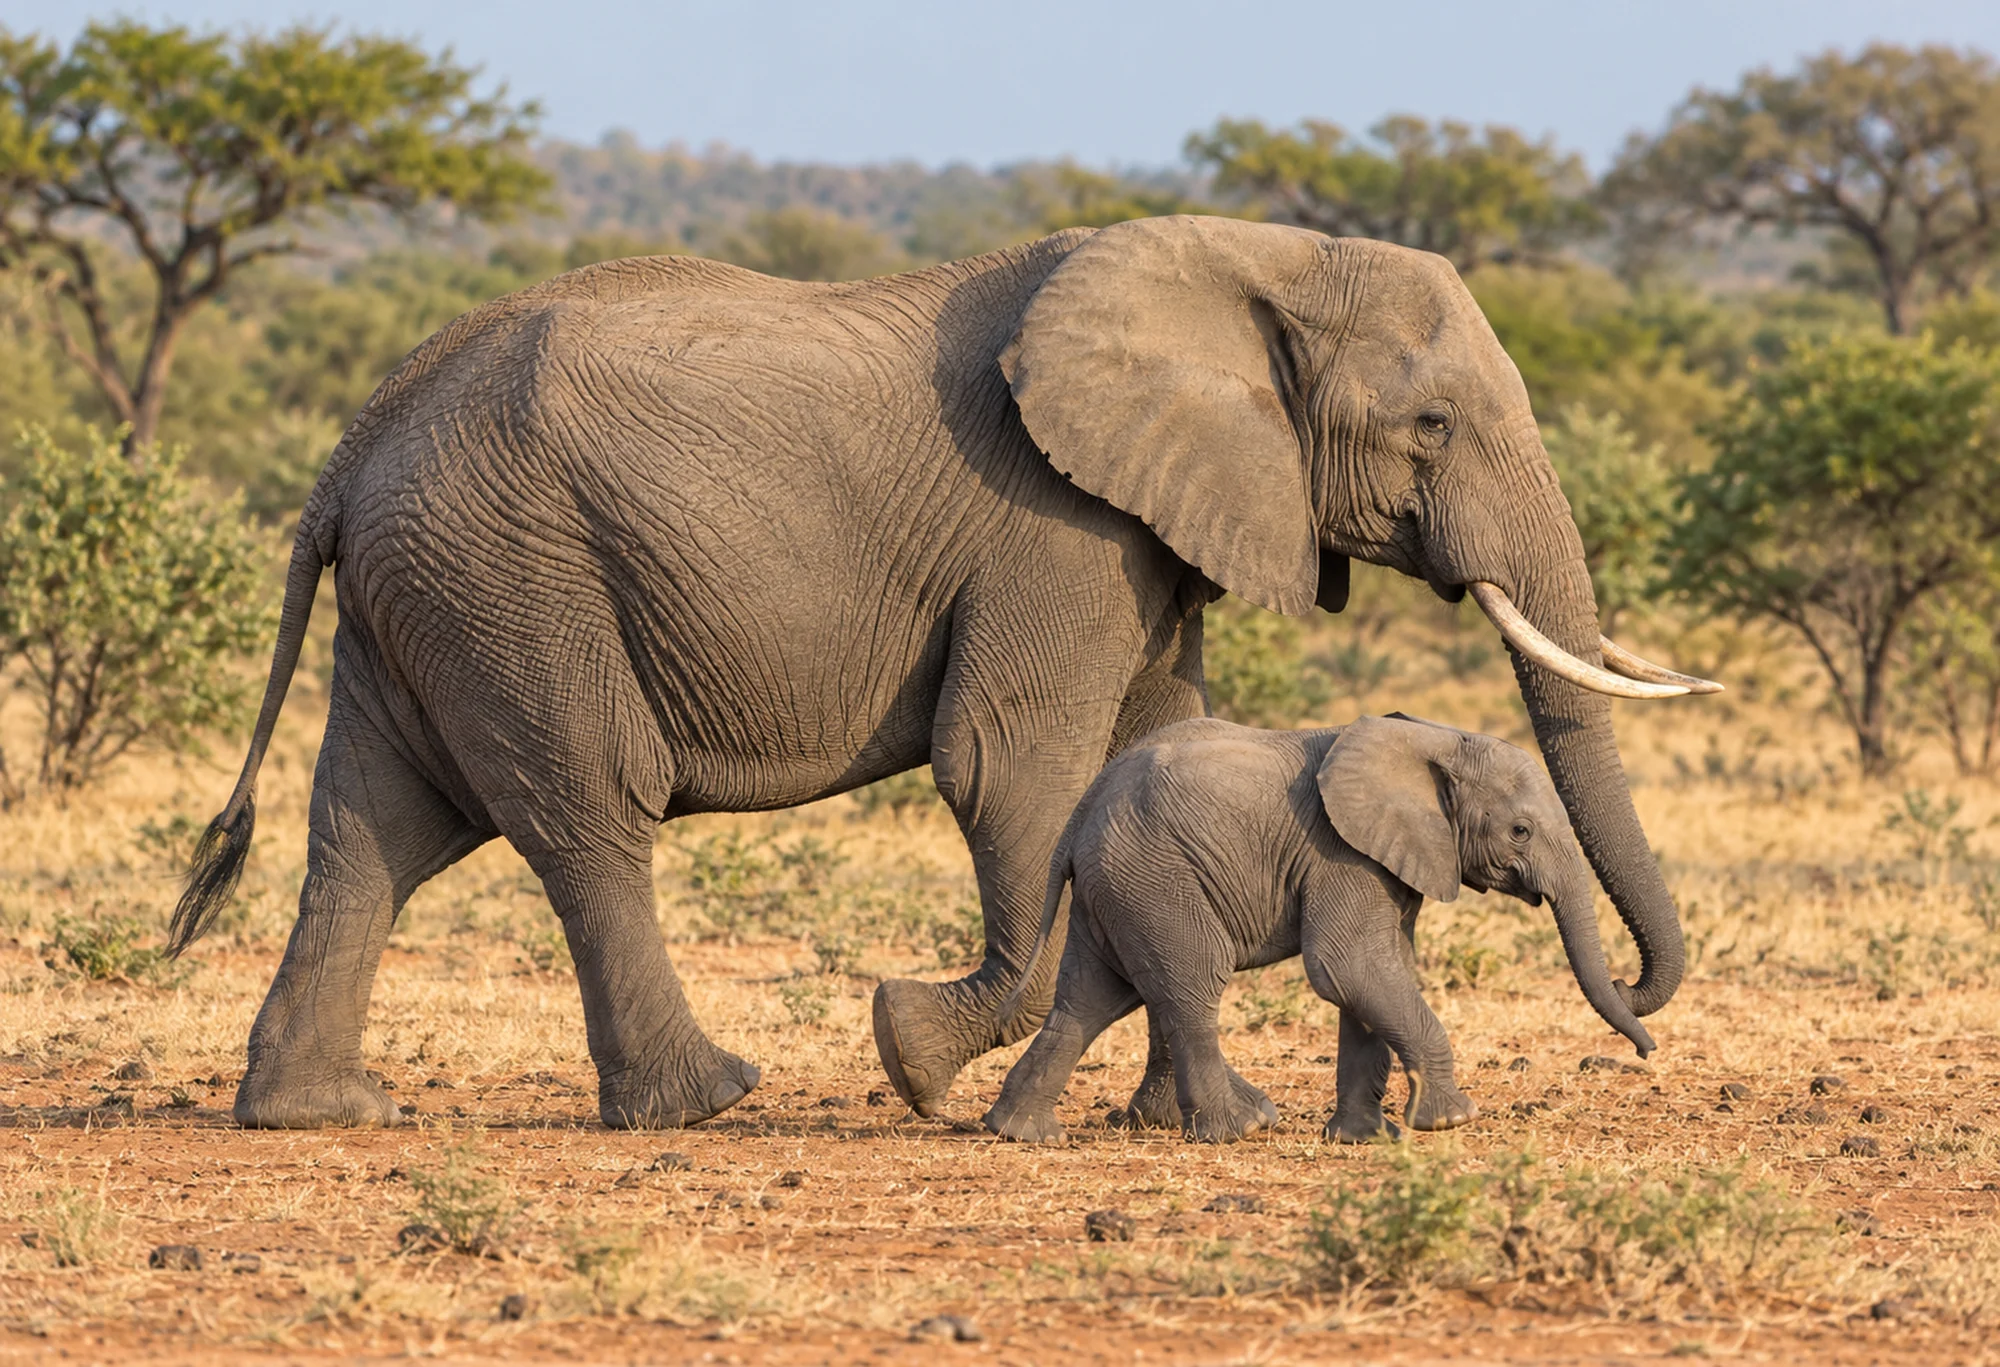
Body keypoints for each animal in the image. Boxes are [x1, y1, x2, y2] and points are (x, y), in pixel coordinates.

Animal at [981, 714, 1655, 1146]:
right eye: (1519, 831)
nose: (1645, 1047)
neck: (1434, 738)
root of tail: (1077, 819)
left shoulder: (1387, 857)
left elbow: (1379, 973)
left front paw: (1365, 1138)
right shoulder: (1341, 852)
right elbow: (1348, 969)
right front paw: (1450, 1122)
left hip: (1116, 888)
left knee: (1092, 998)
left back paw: (1020, 1132)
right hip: (1154, 879)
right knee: (1188, 986)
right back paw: (1244, 1127)